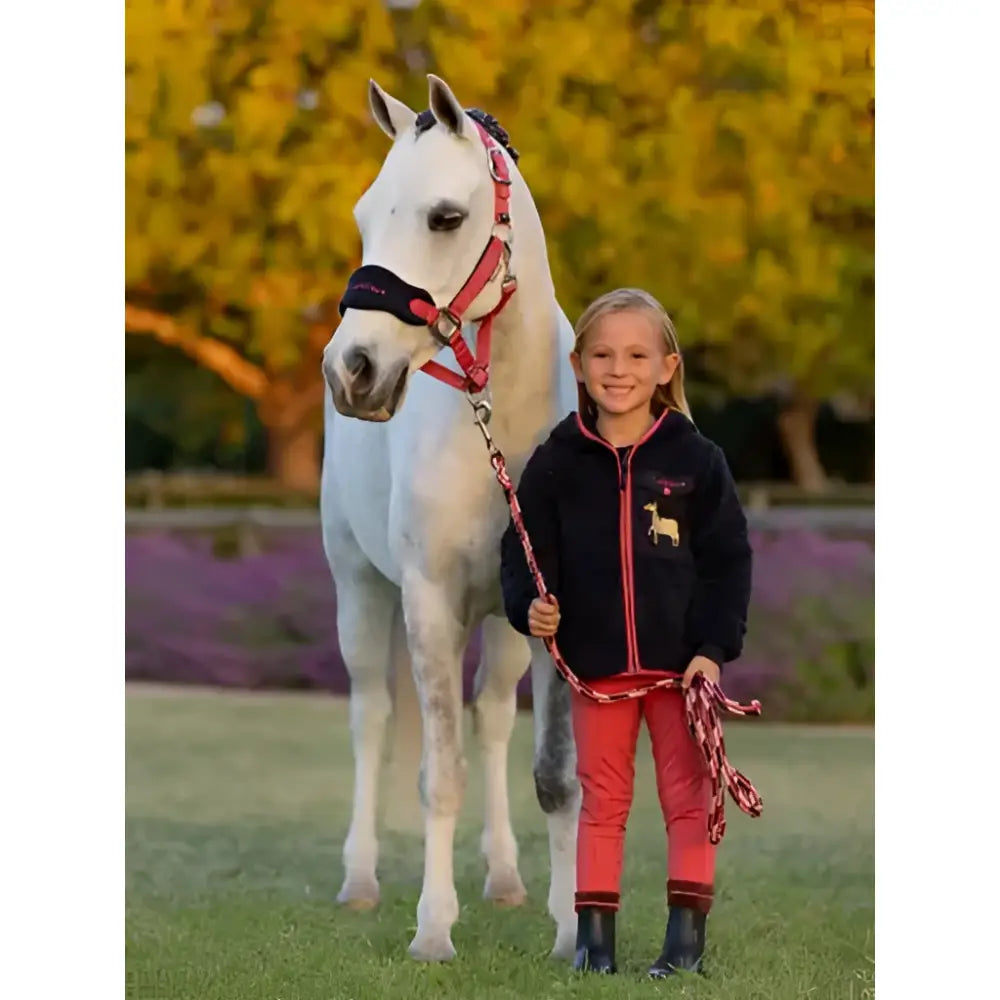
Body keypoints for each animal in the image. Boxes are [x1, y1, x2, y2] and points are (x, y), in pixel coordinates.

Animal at [319, 74, 581, 962]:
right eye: (364, 215)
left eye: (444, 216)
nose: (351, 370)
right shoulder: (428, 603)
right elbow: (441, 773)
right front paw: (433, 928)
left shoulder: (553, 611)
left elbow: (553, 774)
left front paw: (574, 927)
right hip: (361, 592)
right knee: (372, 720)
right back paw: (360, 882)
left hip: (501, 628)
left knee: (494, 719)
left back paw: (504, 879)